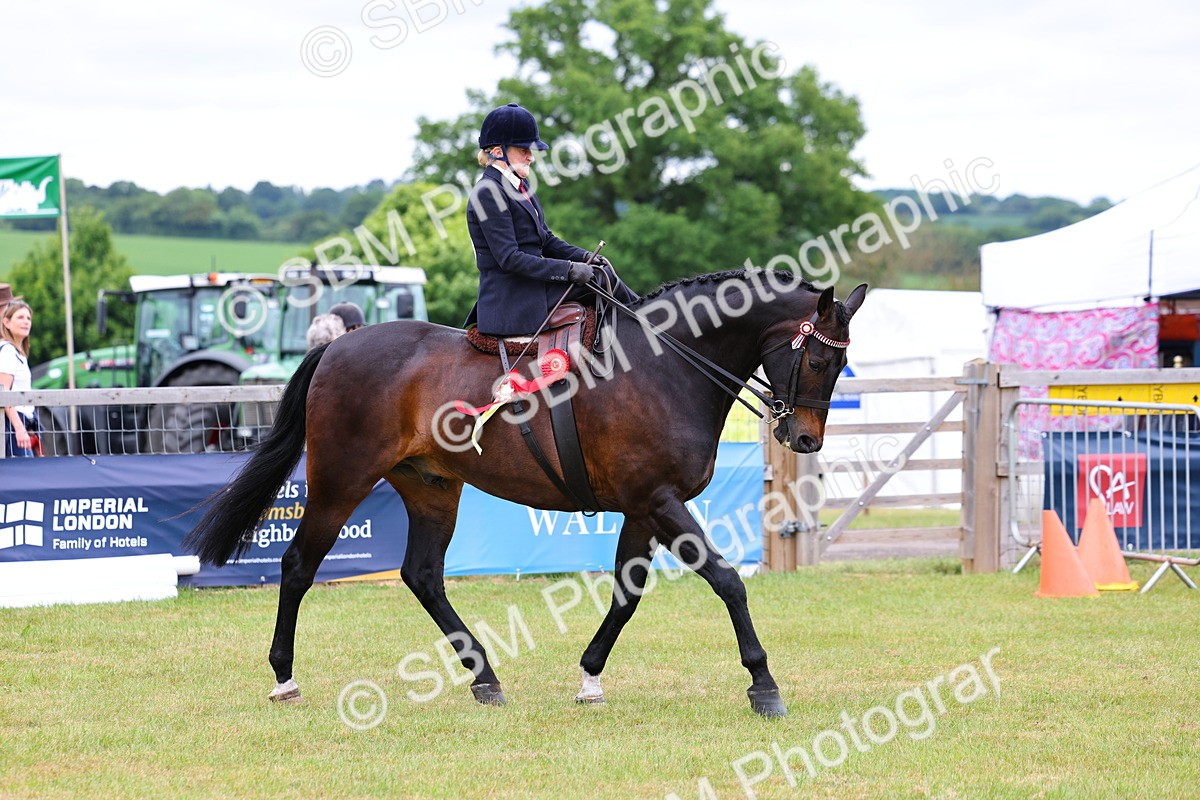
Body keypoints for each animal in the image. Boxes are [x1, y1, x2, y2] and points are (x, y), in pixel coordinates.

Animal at [184, 269, 867, 717]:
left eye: (840, 365)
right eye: (816, 361)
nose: (805, 439)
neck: (665, 366)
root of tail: (335, 347)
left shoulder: (643, 506)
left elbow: (626, 594)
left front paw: (590, 678)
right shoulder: (660, 500)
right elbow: (727, 580)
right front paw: (763, 684)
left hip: (432, 487)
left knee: (423, 575)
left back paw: (484, 677)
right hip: (340, 481)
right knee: (298, 565)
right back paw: (284, 677)